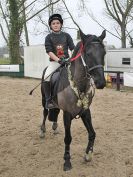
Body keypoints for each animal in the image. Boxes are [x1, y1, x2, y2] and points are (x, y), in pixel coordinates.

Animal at [40, 29, 105, 171]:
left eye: (104, 53)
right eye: (88, 53)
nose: (101, 82)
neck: (79, 85)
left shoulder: (85, 112)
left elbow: (92, 133)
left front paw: (88, 155)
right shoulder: (67, 114)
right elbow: (68, 138)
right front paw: (67, 162)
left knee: (54, 112)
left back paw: (54, 127)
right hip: (44, 100)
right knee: (45, 112)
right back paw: (42, 131)